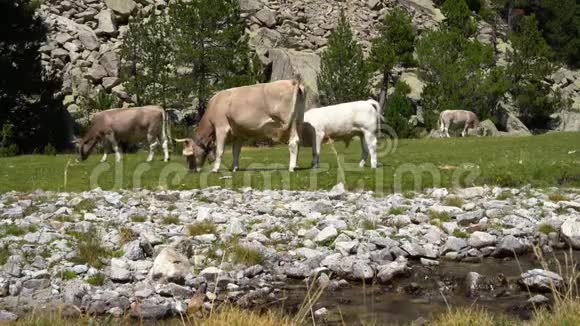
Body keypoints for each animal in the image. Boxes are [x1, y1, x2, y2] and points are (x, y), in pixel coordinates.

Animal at [174, 78, 306, 173]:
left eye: (189, 156)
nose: (191, 171)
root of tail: (292, 81)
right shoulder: (238, 133)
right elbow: (236, 151)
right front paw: (235, 168)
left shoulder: (221, 128)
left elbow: (220, 150)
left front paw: (215, 169)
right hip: (299, 120)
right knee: (299, 141)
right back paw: (296, 165)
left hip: (289, 121)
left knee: (293, 142)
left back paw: (291, 167)